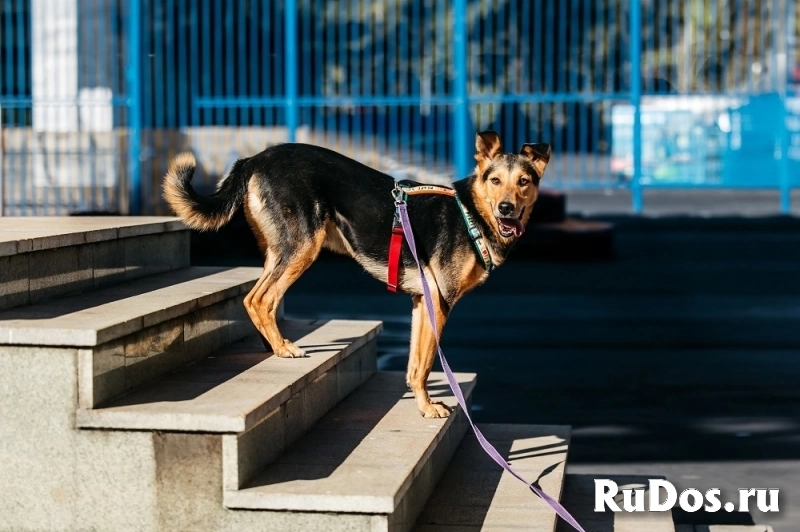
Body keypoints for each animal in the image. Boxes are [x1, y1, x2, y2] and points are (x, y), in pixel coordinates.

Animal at [162, 131, 552, 418]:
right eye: (495, 180)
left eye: (524, 181)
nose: (506, 209)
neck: (472, 213)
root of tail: (255, 159)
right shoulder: (438, 303)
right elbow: (427, 363)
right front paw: (428, 409)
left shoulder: (421, 302)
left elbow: (415, 364)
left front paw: (421, 402)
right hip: (304, 247)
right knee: (259, 299)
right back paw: (283, 349)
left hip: (280, 251)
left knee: (255, 298)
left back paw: (271, 345)